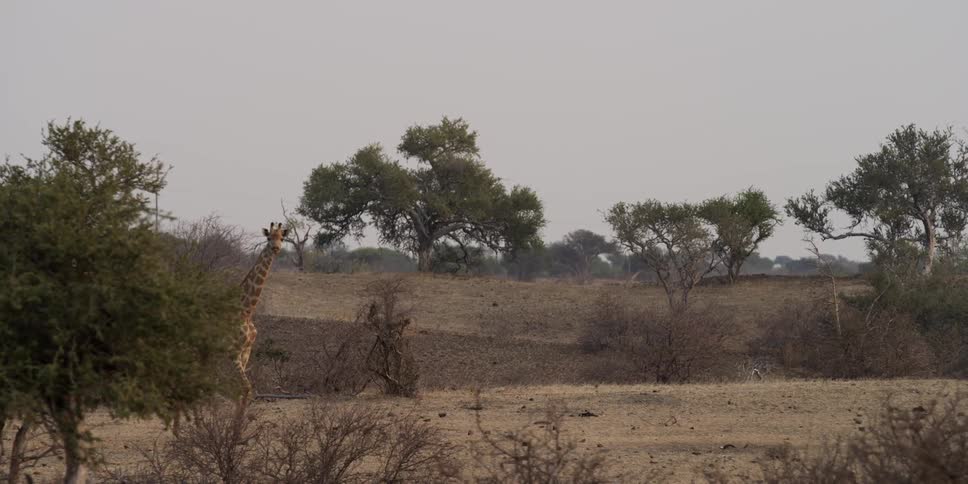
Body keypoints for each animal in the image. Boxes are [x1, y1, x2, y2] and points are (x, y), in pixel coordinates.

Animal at [237, 222, 289, 405]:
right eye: (268, 237)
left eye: (282, 238)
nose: (276, 248)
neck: (246, 312)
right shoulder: (233, 353)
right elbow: (245, 388)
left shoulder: (246, 352)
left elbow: (244, 390)